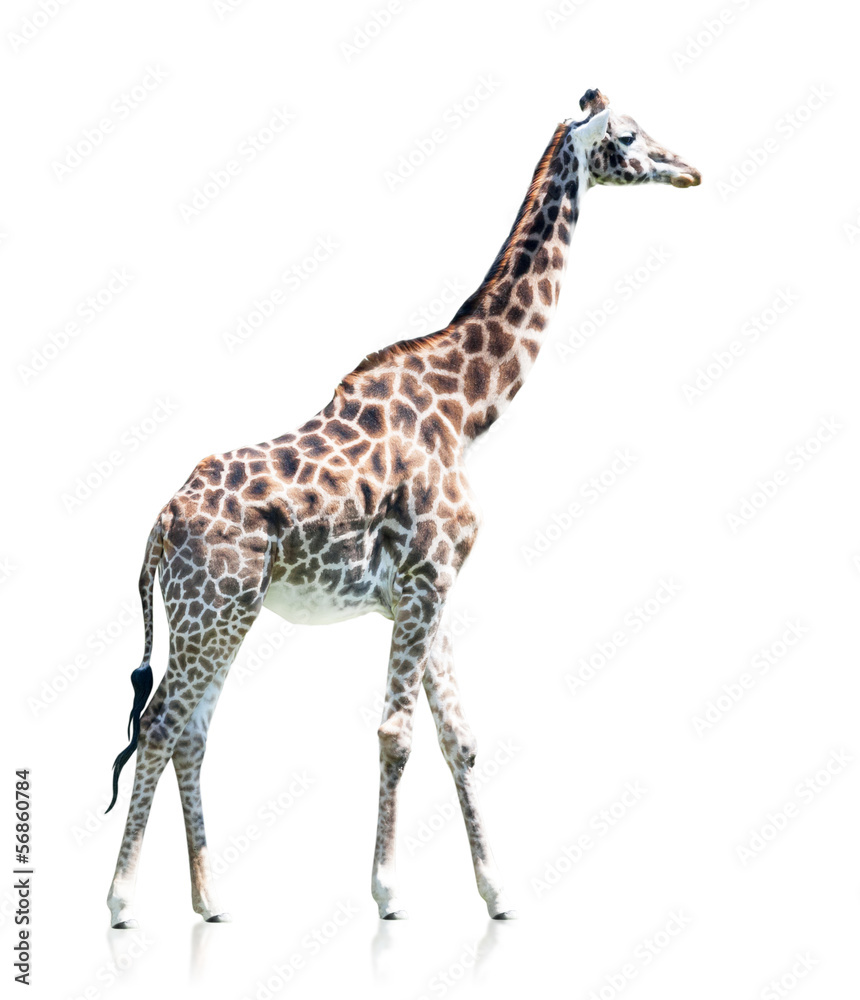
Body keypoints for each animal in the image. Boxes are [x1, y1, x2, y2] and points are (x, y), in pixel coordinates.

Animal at [105, 88, 700, 928]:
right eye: (627, 135)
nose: (689, 170)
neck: (468, 408)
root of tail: (161, 521)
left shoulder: (431, 589)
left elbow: (461, 739)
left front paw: (497, 893)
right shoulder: (423, 580)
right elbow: (397, 733)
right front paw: (387, 893)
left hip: (223, 616)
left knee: (189, 731)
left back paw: (210, 899)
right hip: (209, 609)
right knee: (159, 725)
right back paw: (121, 901)